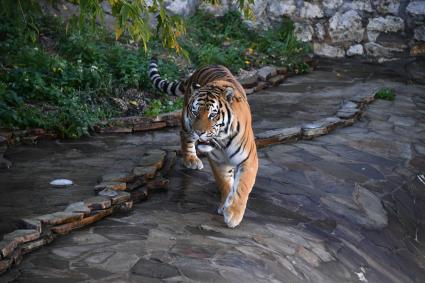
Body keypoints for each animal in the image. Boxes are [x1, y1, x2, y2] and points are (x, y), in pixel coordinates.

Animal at [147, 58, 256, 229]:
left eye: (213, 114)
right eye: (195, 112)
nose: (199, 132)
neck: (223, 141)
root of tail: (205, 65)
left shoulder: (249, 159)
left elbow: (242, 187)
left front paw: (233, 214)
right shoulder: (218, 161)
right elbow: (224, 183)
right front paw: (225, 205)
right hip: (186, 124)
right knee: (184, 136)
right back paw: (191, 159)